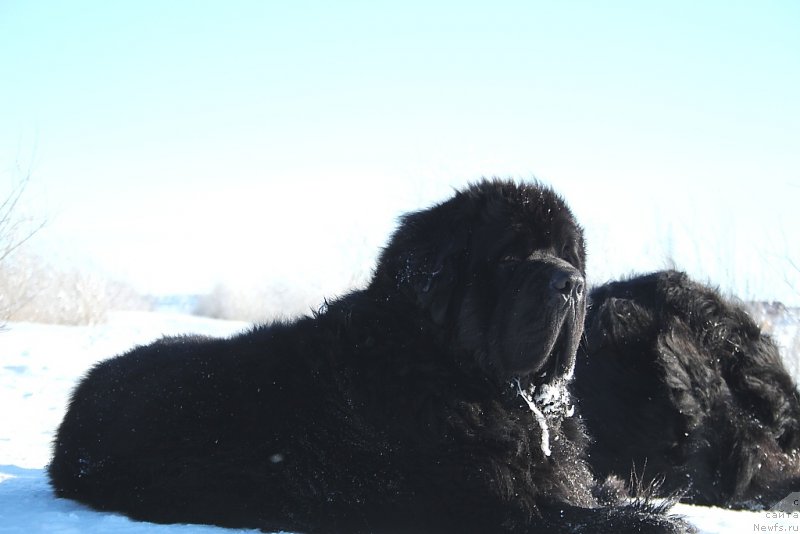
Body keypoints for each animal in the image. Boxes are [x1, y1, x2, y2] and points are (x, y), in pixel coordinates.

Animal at [50, 181, 692, 534]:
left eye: (570, 255)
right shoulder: (480, 501)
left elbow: (596, 494)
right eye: (510, 258)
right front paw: (660, 519)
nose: (573, 284)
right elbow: (585, 517)